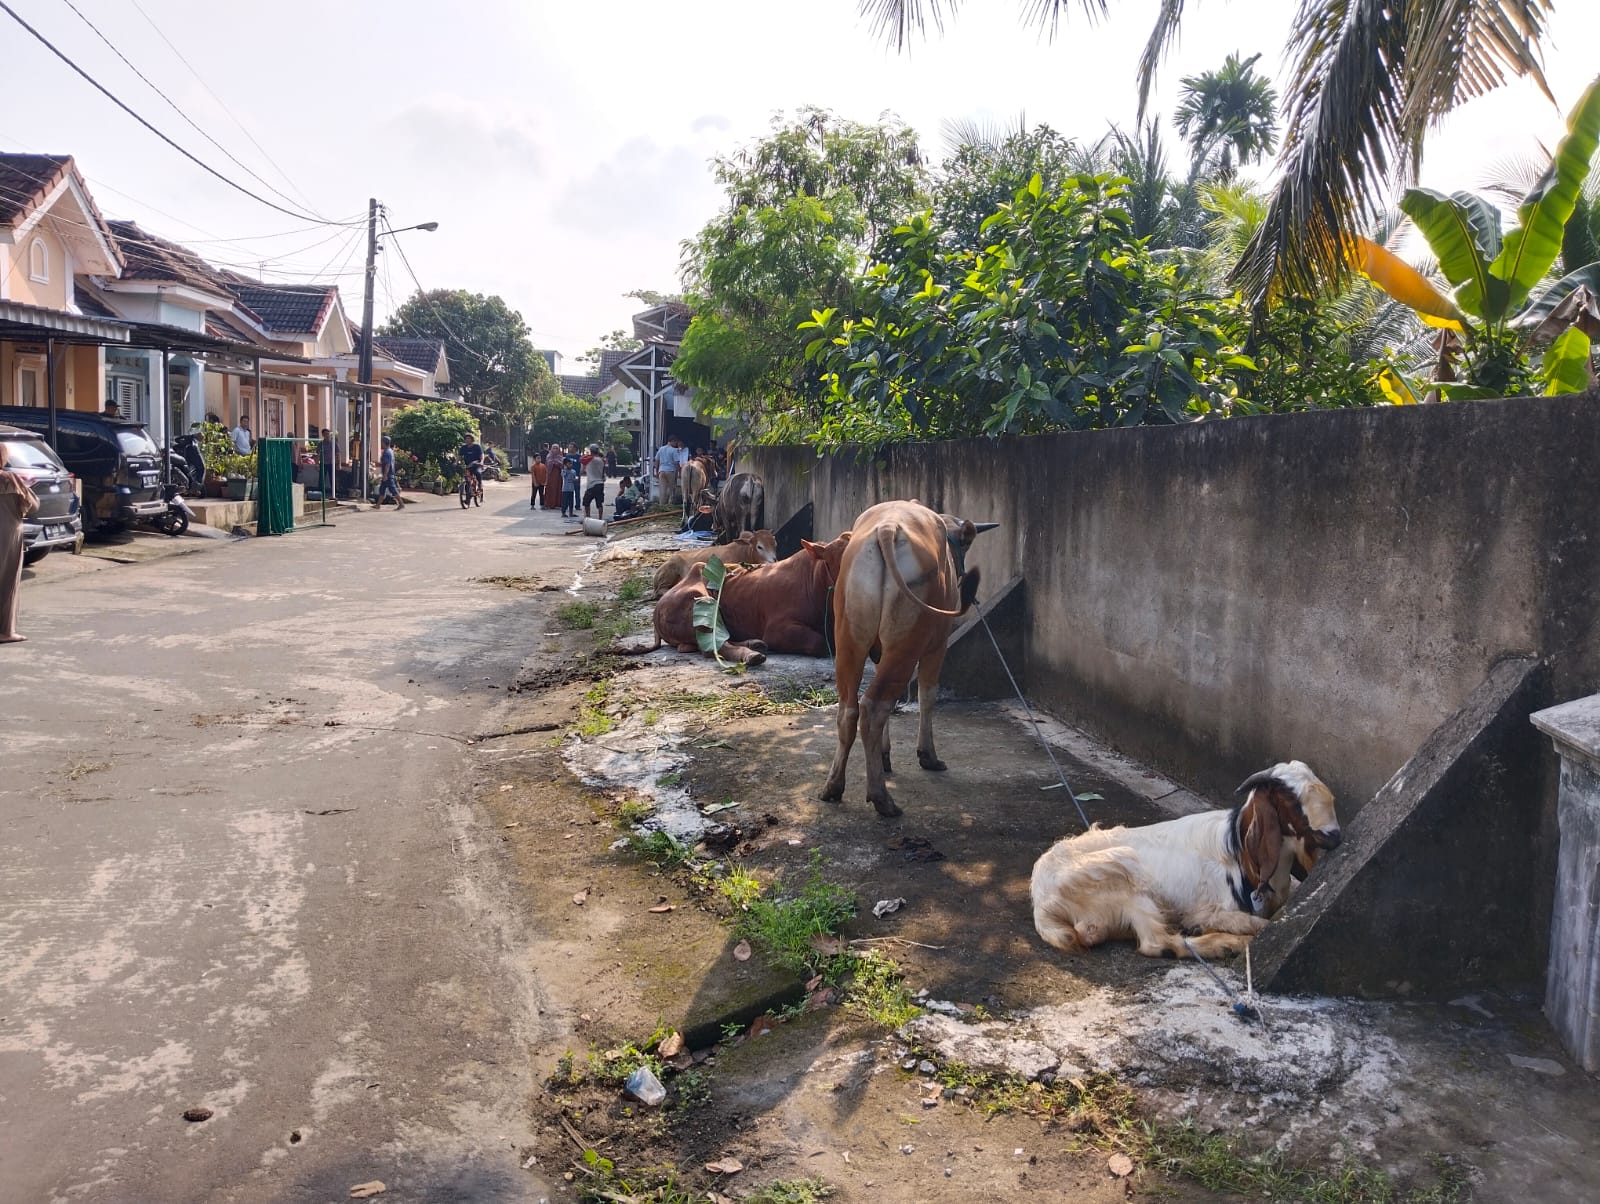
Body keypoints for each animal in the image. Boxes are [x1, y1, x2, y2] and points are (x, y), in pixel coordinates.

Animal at [825, 499, 985, 819]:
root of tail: (887, 529)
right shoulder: (938, 646)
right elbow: (927, 695)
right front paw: (928, 755)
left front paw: (884, 755)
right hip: (907, 644)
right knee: (874, 707)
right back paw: (881, 798)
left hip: (849, 637)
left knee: (850, 710)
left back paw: (835, 785)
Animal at [1024, 762, 1337, 960]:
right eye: (1292, 800)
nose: (1335, 835)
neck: (1238, 849)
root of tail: (1041, 903)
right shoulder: (1210, 909)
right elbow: (1258, 923)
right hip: (1123, 872)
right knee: (1156, 943)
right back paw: (1227, 944)